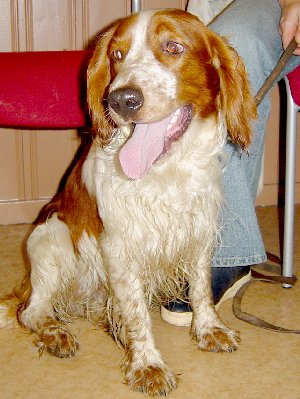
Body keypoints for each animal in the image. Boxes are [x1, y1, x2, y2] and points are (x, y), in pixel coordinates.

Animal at [1, 8, 256, 396]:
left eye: (173, 46)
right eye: (117, 54)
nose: (121, 100)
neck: (164, 171)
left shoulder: (199, 230)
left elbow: (200, 288)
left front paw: (208, 329)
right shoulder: (120, 247)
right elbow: (137, 314)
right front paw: (148, 365)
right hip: (50, 239)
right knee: (32, 310)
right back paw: (56, 333)